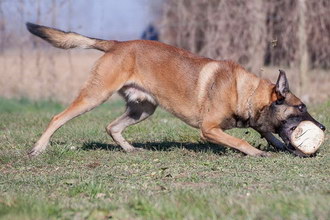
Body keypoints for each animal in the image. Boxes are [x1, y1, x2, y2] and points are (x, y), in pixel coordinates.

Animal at [25, 22, 324, 156]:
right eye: (301, 107)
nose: (322, 128)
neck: (245, 92)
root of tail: (117, 44)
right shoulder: (209, 129)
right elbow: (239, 140)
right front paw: (256, 152)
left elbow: (266, 130)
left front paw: (276, 144)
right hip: (95, 96)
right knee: (58, 117)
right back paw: (39, 147)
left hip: (143, 109)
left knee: (112, 126)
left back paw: (130, 149)